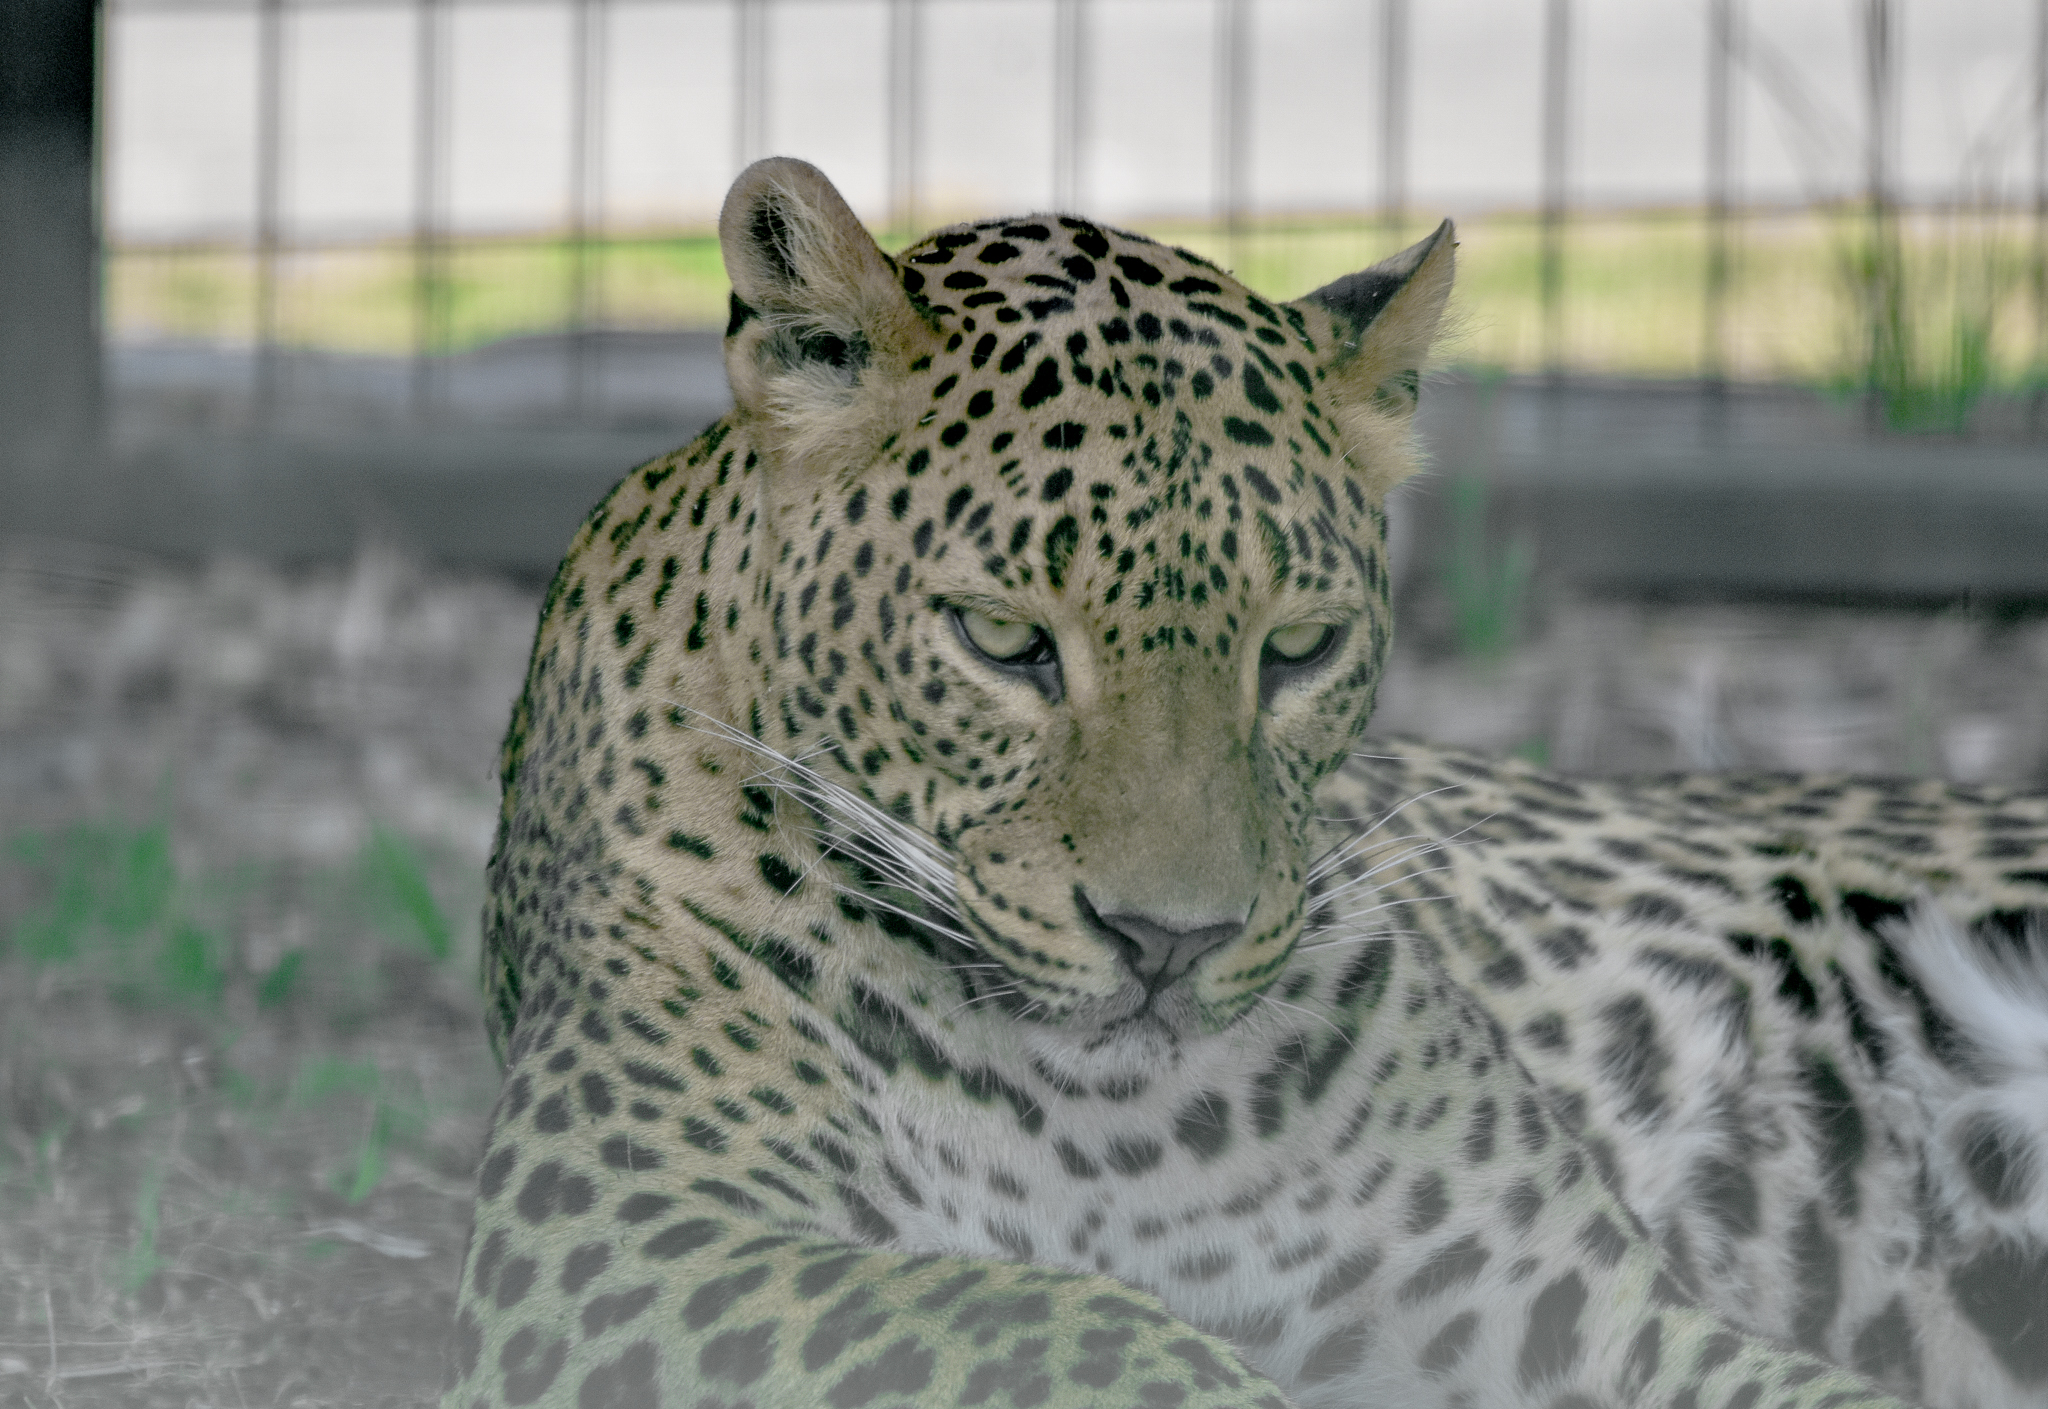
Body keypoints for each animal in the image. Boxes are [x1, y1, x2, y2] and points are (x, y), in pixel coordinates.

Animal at [444, 156, 2048, 1409]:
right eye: (1002, 639)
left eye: (1298, 648)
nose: (1169, 943)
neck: (1110, 1129)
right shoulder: (619, 1232)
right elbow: (1032, 1309)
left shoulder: (1591, 1310)